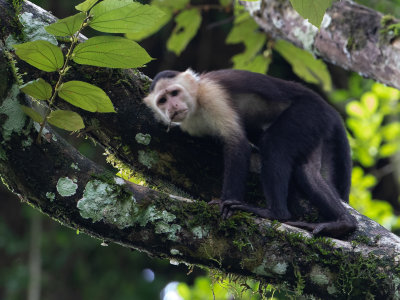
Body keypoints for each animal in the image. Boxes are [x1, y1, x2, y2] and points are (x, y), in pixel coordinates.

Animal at [143, 69, 356, 238]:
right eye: (162, 101)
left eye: (174, 93)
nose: (173, 106)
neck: (196, 102)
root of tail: (327, 107)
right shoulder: (190, 125)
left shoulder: (212, 95)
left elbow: (238, 144)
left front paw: (226, 202)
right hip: (315, 126)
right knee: (308, 171)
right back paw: (343, 223)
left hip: (309, 113)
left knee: (274, 145)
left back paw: (276, 213)